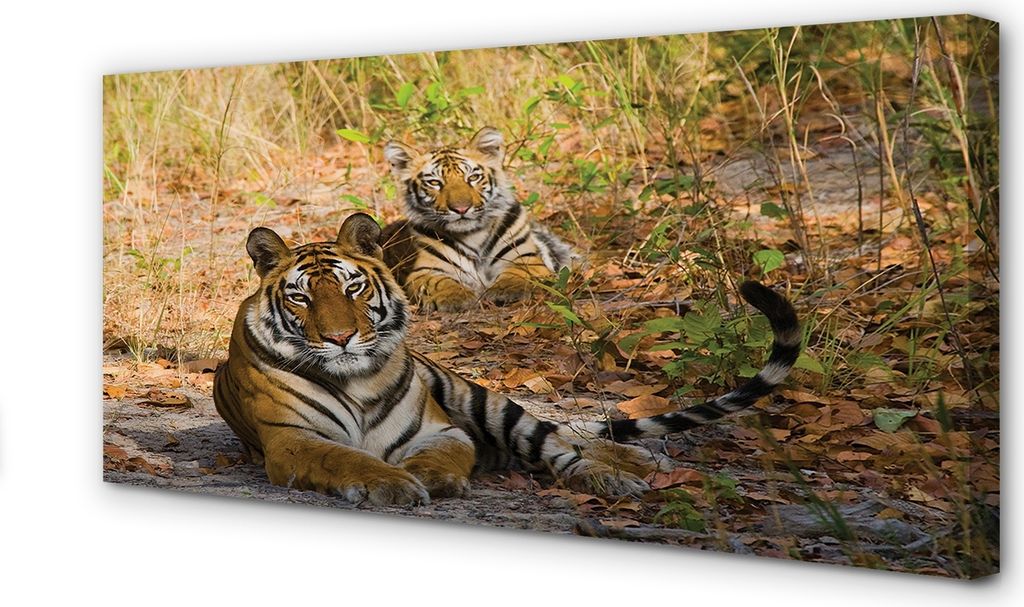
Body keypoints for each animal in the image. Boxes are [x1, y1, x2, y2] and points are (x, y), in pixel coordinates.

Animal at [213, 213, 802, 506]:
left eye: (352, 288)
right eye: (300, 298)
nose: (340, 338)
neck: (354, 379)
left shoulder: (443, 430)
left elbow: (440, 457)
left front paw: (425, 479)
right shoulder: (293, 440)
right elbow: (350, 458)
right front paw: (394, 483)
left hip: (488, 404)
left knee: (562, 444)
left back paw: (625, 472)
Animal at [380, 127, 574, 311]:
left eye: (473, 178)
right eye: (435, 183)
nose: (461, 208)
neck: (473, 234)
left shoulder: (526, 258)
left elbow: (518, 273)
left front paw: (506, 289)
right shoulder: (426, 270)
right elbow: (438, 283)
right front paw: (454, 297)